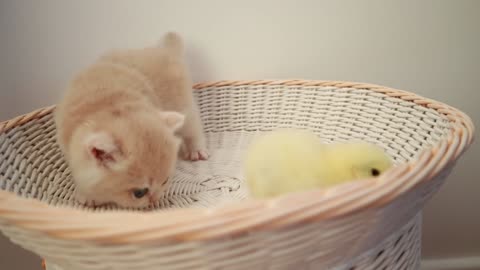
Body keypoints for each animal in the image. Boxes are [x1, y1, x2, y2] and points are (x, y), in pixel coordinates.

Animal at [54, 32, 208, 209]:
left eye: (165, 181)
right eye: (139, 193)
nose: (155, 199)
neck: (108, 106)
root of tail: (163, 50)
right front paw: (86, 194)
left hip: (182, 104)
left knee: (192, 127)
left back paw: (197, 150)